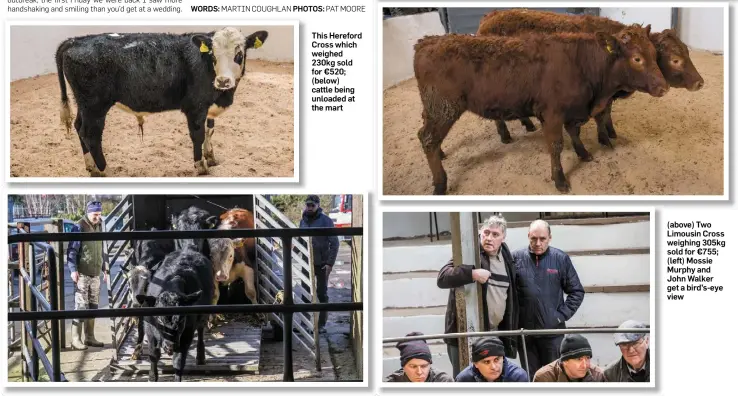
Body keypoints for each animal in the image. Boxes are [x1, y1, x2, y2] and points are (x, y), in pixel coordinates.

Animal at [55, 27, 268, 176]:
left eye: (239, 54)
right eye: (213, 54)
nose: (223, 81)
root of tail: (75, 40)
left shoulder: (209, 106)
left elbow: (210, 131)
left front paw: (211, 157)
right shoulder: (195, 107)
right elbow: (198, 135)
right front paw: (201, 166)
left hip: (84, 104)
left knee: (79, 127)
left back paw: (91, 168)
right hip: (95, 105)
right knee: (90, 135)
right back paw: (105, 171)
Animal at [414, 24, 668, 194]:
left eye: (655, 54)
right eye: (637, 59)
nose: (663, 86)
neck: (582, 63)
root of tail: (427, 41)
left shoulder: (573, 111)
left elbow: (574, 133)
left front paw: (583, 153)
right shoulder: (552, 114)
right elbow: (555, 146)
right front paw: (560, 180)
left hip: (433, 109)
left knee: (424, 133)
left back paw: (442, 155)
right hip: (444, 109)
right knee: (428, 139)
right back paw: (440, 183)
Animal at [474, 10, 704, 154]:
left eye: (687, 51)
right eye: (676, 59)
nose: (700, 82)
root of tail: (489, 17)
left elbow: (607, 113)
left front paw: (611, 132)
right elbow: (601, 115)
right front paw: (605, 138)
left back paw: (527, 123)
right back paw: (505, 135)